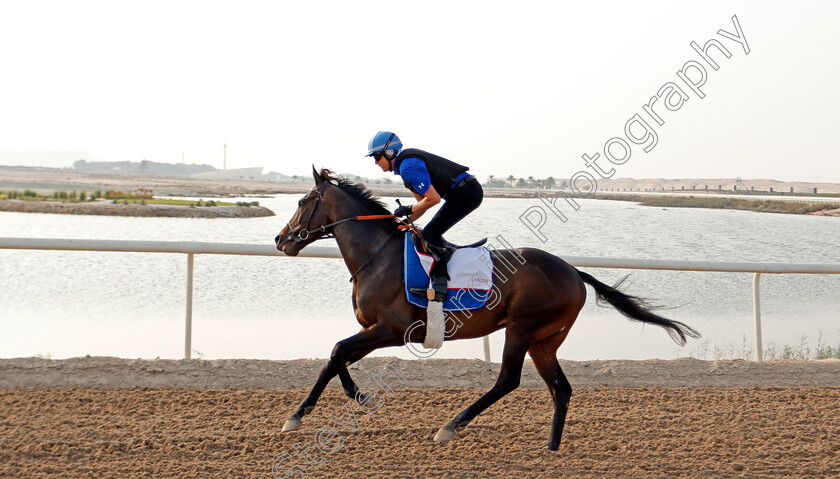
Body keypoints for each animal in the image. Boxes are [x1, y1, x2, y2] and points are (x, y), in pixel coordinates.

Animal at [272, 167, 700, 452]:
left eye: (301, 201)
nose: (280, 240)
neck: (378, 256)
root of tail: (574, 272)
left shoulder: (391, 331)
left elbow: (338, 351)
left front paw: (359, 397)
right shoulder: (373, 330)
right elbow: (333, 357)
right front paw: (297, 415)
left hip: (522, 328)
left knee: (508, 380)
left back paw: (450, 427)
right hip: (546, 340)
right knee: (560, 388)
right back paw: (551, 447)